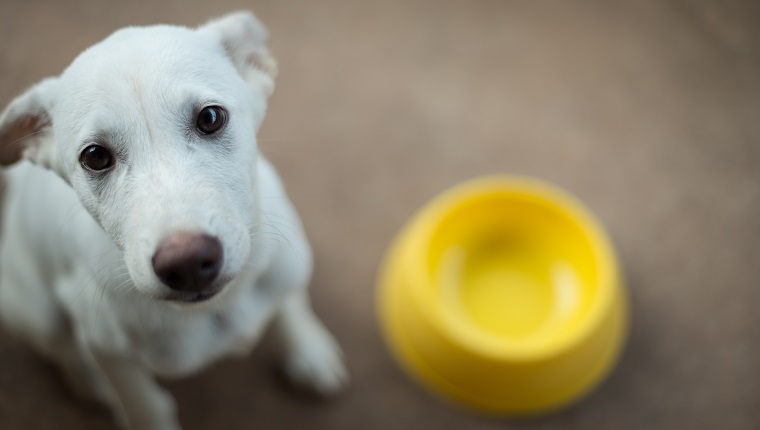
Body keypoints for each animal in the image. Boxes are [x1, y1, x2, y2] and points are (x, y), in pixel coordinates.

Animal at [0, 10, 348, 430]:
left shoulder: (287, 264)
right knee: (60, 347)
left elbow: (291, 302)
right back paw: (88, 383)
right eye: (95, 156)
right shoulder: (109, 351)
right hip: (34, 310)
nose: (188, 264)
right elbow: (145, 405)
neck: (217, 307)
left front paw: (308, 348)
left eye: (211, 117)